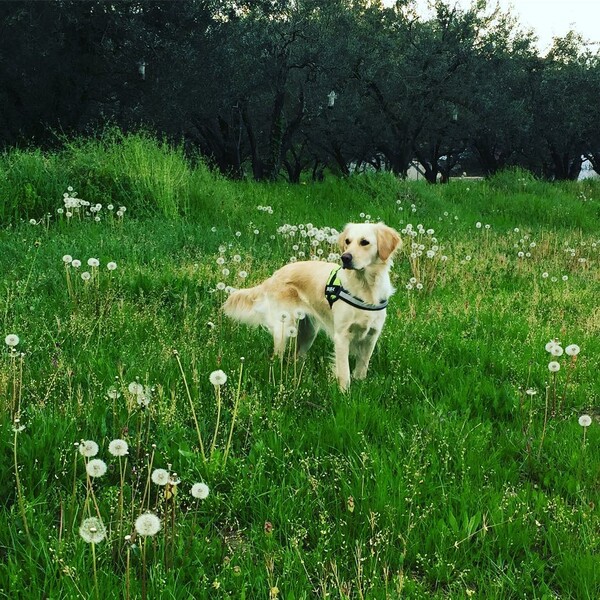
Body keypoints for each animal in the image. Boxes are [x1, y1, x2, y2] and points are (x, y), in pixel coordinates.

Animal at [223, 221, 400, 390]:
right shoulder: (341, 336)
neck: (366, 288)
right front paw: (344, 395)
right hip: (284, 327)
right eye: (348, 241)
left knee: (296, 356)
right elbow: (344, 373)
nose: (345, 257)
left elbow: (361, 369)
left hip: (308, 331)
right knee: (276, 358)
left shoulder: (372, 335)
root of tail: (274, 275)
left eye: (365, 242)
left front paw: (360, 385)